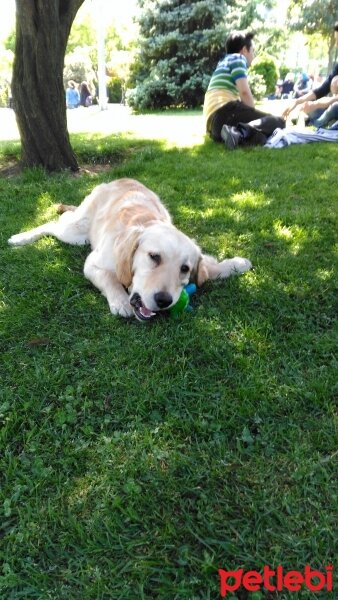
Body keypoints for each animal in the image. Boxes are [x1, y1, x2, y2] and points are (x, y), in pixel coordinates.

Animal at [7, 178, 252, 322]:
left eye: (185, 268)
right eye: (154, 257)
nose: (163, 300)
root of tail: (116, 179)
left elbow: (210, 270)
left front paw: (237, 264)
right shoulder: (93, 263)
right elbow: (109, 277)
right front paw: (120, 301)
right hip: (75, 234)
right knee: (53, 224)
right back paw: (20, 237)